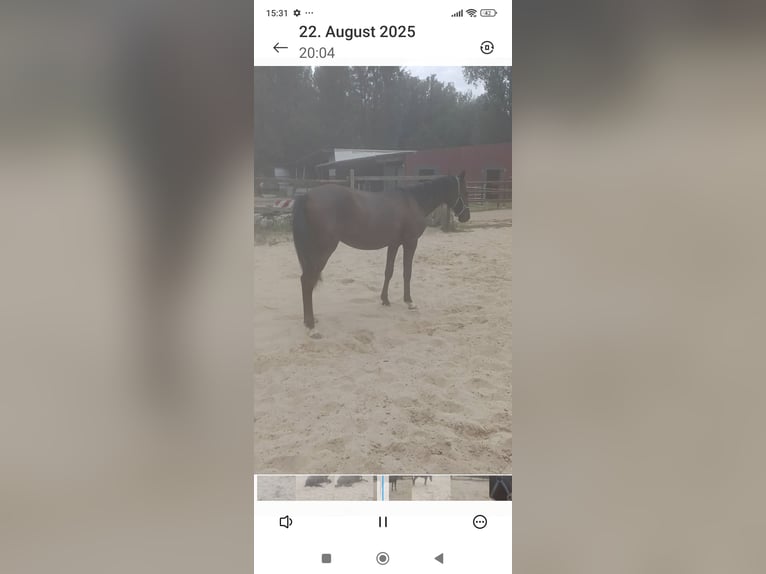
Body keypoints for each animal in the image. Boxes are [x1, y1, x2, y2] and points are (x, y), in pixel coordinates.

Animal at [291, 172, 470, 329]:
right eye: (465, 191)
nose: (466, 216)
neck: (413, 201)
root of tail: (307, 196)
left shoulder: (394, 244)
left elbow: (388, 271)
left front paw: (385, 299)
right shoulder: (411, 243)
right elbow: (407, 272)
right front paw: (409, 301)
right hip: (323, 251)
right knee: (306, 281)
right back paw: (310, 323)